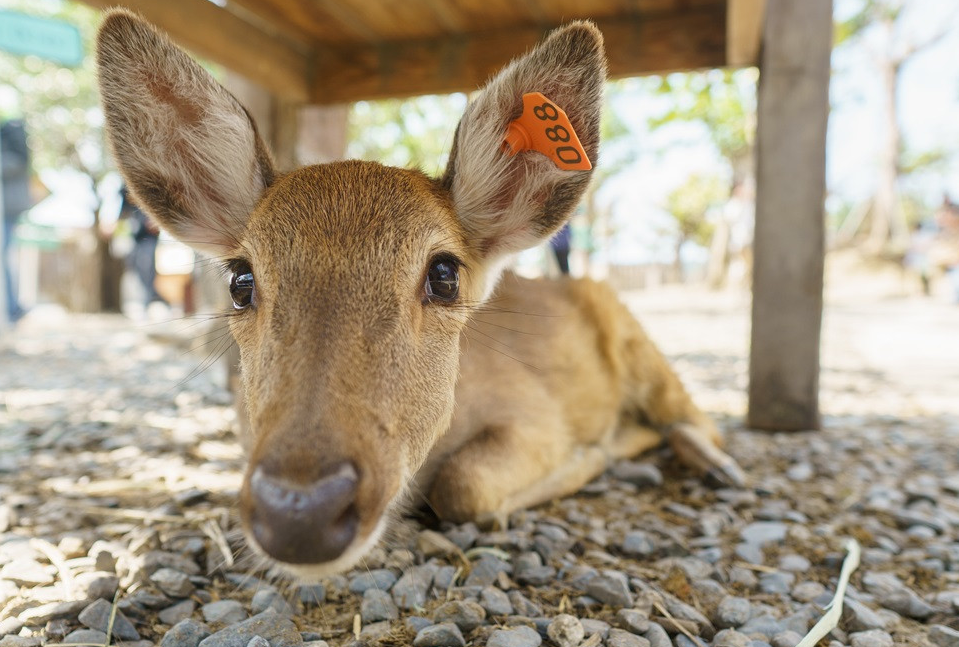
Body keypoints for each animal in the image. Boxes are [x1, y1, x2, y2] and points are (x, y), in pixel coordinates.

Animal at [95, 8, 744, 576]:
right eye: (239, 279)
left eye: (444, 274)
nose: (300, 512)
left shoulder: (534, 413)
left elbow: (466, 486)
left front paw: (590, 455)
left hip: (644, 347)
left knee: (701, 421)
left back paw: (714, 466)